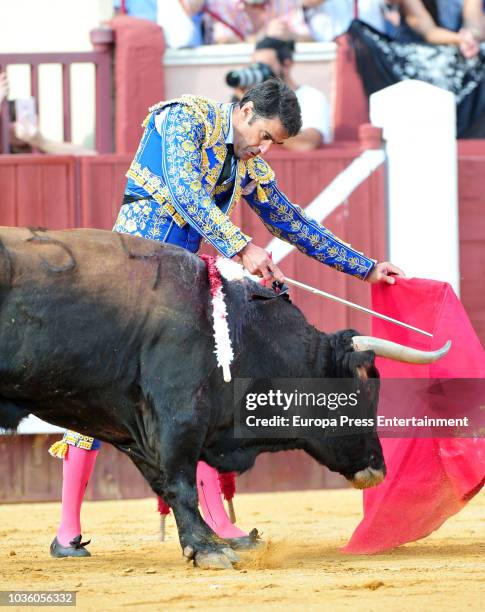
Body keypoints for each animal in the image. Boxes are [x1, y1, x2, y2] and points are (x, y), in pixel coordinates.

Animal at [0, 228, 386, 568]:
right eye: (361, 394)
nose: (379, 469)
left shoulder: (139, 428)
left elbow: (168, 482)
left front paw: (212, 541)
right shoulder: (180, 414)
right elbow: (181, 482)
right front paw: (208, 549)